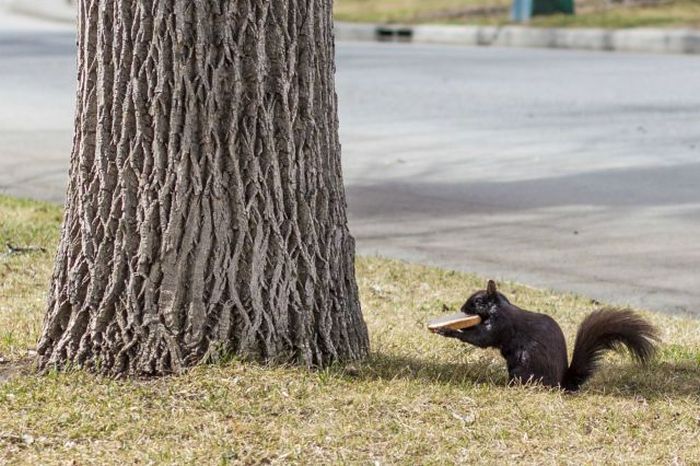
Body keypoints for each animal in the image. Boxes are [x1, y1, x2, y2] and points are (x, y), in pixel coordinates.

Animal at [434, 280, 660, 390]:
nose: (462, 308)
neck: (499, 308)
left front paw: (449, 330)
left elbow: (481, 339)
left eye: (477, 301)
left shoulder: (501, 325)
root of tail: (560, 384)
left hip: (524, 364)